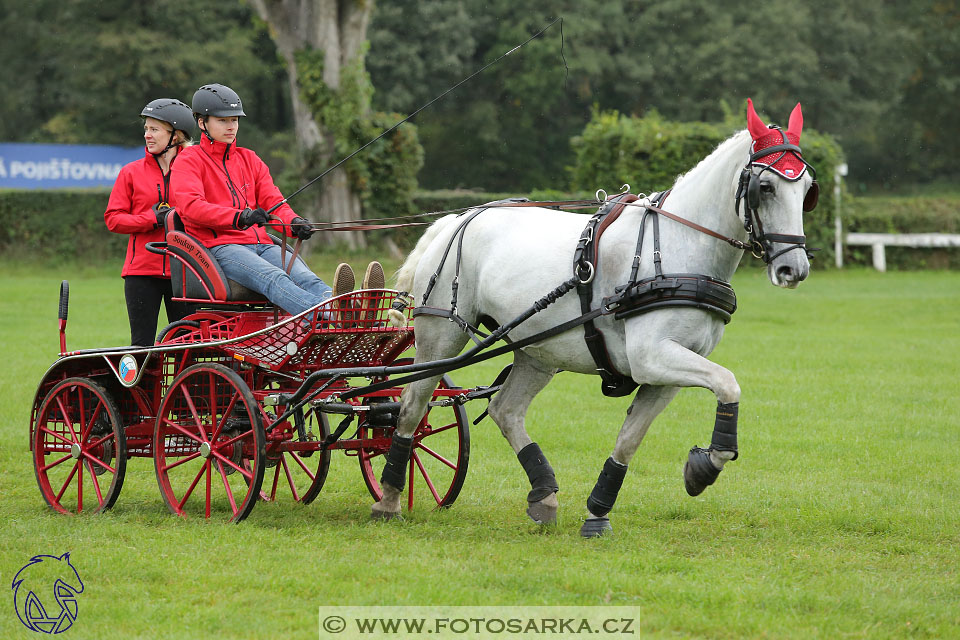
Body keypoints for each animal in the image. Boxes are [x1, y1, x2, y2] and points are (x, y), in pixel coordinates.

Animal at [376, 100, 816, 532]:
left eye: (807, 190)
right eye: (765, 187)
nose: (793, 269)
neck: (678, 246)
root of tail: (455, 220)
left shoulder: (667, 370)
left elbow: (631, 438)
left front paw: (600, 509)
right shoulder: (651, 356)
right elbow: (728, 383)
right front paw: (705, 467)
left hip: (537, 352)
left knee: (505, 410)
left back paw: (544, 494)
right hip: (441, 334)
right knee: (412, 406)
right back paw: (389, 498)